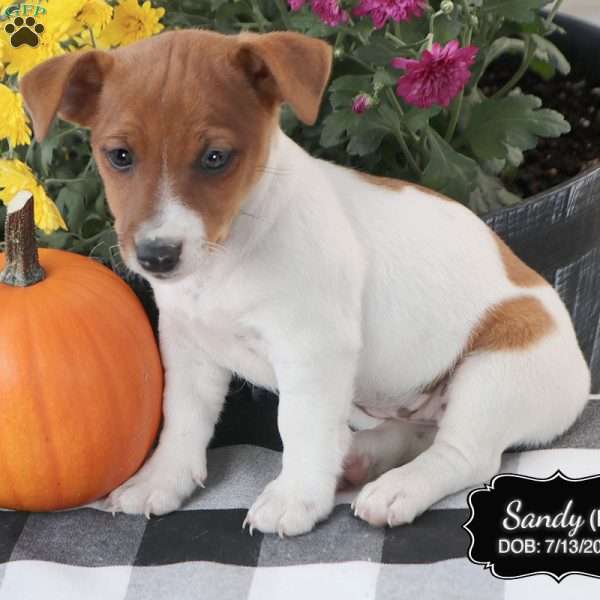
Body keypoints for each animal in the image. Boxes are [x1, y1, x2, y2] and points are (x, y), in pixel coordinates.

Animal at [19, 29, 592, 536]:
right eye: (120, 156)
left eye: (214, 158)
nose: (158, 255)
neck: (231, 255)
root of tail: (580, 377)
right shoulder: (187, 345)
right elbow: (181, 417)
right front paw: (163, 478)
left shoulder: (313, 351)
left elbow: (299, 425)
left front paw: (295, 496)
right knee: (418, 430)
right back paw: (361, 457)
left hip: (498, 368)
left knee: (466, 455)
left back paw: (398, 488)